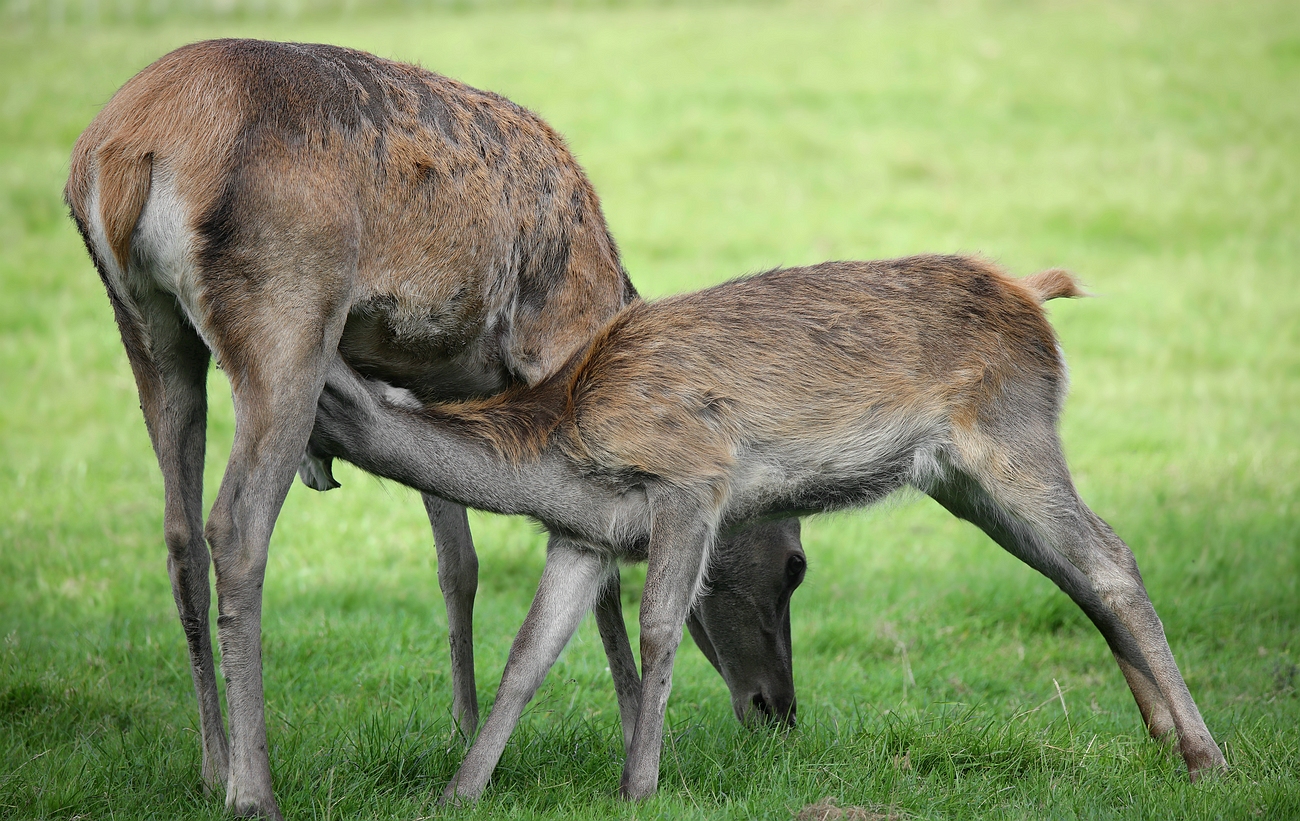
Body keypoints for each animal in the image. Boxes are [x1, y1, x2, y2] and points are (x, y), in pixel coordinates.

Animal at [71, 40, 806, 821]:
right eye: (795, 564)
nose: (778, 711)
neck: (608, 296)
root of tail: (123, 153)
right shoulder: (554, 345)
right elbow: (598, 569)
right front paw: (635, 726)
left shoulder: (425, 382)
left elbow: (458, 563)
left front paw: (462, 726)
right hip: (285, 313)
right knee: (235, 526)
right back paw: (253, 786)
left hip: (147, 326)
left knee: (179, 534)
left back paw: (212, 767)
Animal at [312, 253, 1227, 800]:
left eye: (324, 385)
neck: (559, 447)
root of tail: (1029, 294)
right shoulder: (586, 534)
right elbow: (529, 652)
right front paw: (460, 789)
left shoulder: (690, 481)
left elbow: (657, 626)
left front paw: (638, 785)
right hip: (960, 480)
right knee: (1074, 570)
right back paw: (1162, 738)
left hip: (1013, 434)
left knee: (1110, 557)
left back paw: (1208, 756)